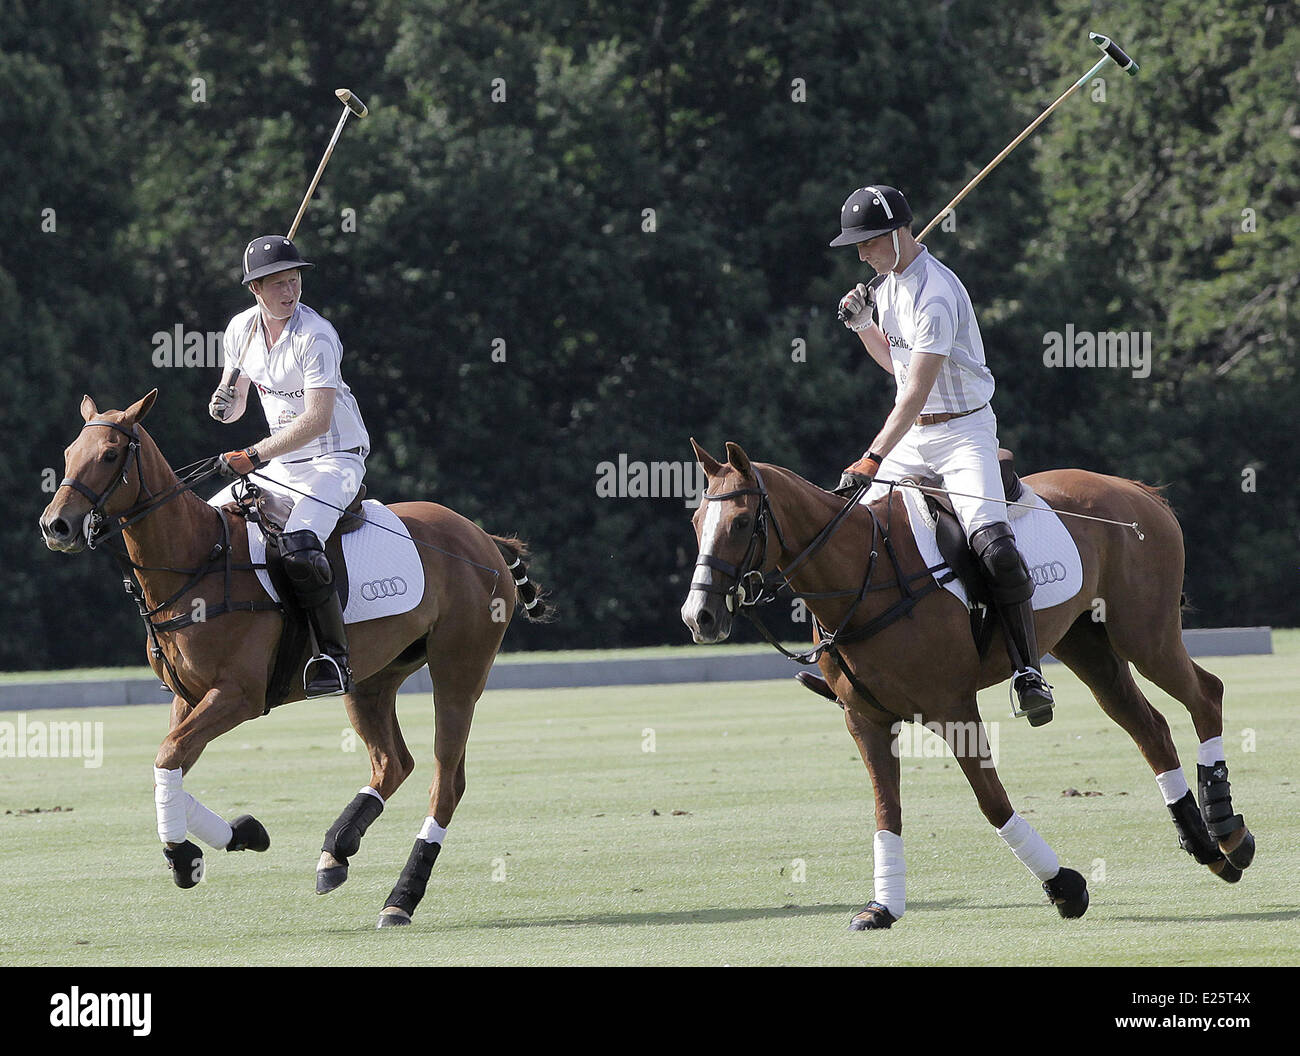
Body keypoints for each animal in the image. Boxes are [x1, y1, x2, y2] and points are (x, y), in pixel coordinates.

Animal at [40, 392, 548, 925]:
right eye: (70, 453)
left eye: (110, 454)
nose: (56, 525)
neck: (195, 563)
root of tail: (483, 538)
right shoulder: (189, 697)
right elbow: (170, 762)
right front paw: (242, 833)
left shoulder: (238, 695)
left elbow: (168, 755)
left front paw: (184, 856)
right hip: (372, 677)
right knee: (393, 763)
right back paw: (336, 852)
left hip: (459, 671)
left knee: (446, 781)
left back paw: (400, 898)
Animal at [686, 442, 1253, 925]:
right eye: (696, 521)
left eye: (741, 522)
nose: (700, 616)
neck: (863, 576)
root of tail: (1139, 491)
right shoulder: (866, 719)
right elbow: (886, 809)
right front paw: (882, 907)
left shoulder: (952, 707)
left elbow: (992, 801)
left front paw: (1065, 887)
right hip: (1087, 645)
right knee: (1149, 727)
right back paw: (1205, 846)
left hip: (1145, 632)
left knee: (1206, 694)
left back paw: (1228, 832)